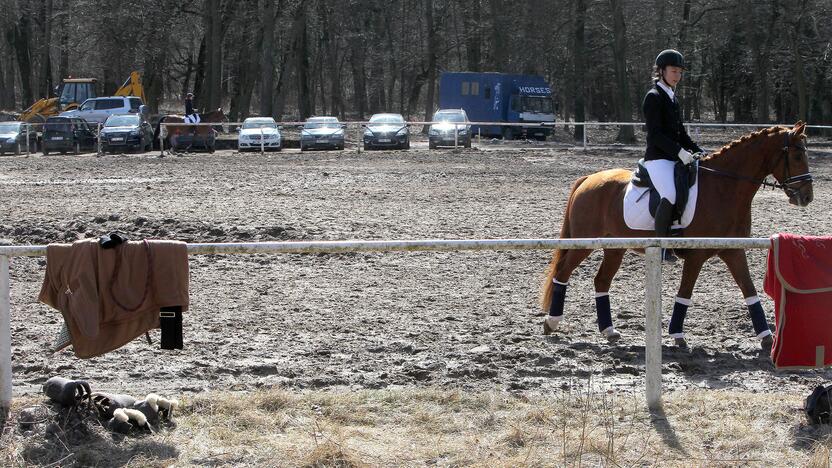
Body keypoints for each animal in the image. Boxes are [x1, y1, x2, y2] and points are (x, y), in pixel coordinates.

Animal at [540, 122, 812, 350]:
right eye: (797, 156)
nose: (807, 197)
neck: (724, 188)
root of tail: (588, 179)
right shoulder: (696, 256)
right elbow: (685, 293)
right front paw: (678, 335)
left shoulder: (733, 251)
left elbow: (749, 289)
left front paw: (767, 337)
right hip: (585, 243)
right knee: (563, 273)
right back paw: (551, 323)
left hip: (615, 248)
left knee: (601, 281)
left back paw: (609, 331)